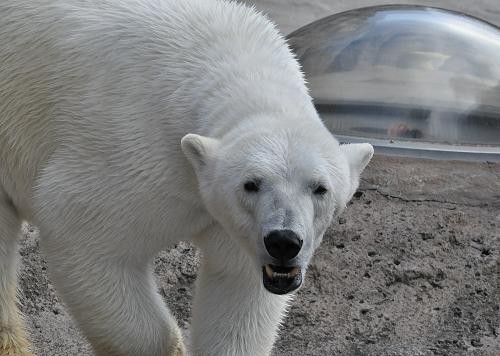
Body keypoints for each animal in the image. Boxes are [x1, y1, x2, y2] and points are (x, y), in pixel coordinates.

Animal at [0, 0, 372, 356]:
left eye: (320, 188)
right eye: (250, 184)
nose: (284, 241)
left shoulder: (236, 228)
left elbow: (237, 287)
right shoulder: (132, 154)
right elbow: (84, 234)